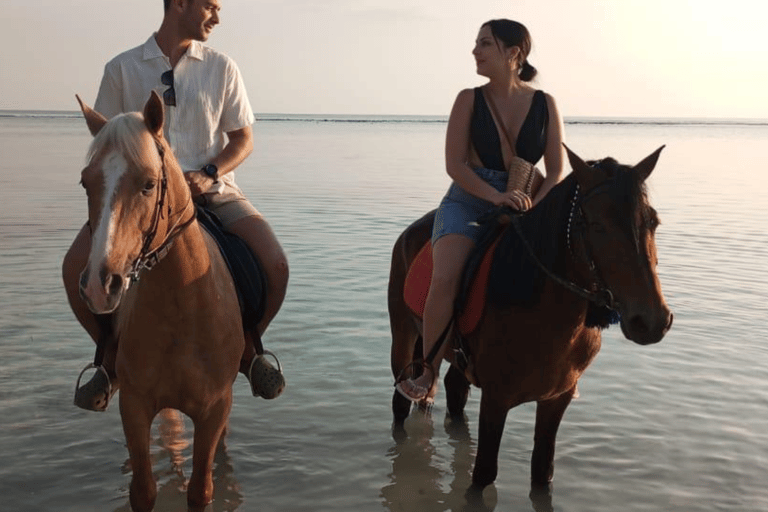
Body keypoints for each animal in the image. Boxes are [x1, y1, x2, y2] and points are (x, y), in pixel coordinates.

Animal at [75, 90, 243, 510]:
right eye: (85, 183)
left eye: (149, 184)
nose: (100, 284)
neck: (182, 306)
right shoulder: (134, 406)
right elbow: (143, 490)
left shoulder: (213, 410)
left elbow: (201, 490)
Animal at [390, 146, 672, 490]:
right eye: (596, 225)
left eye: (653, 220)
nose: (652, 321)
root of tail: (412, 231)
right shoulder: (496, 399)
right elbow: (483, 474)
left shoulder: (557, 399)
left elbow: (542, 472)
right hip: (403, 336)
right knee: (401, 403)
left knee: (455, 392)